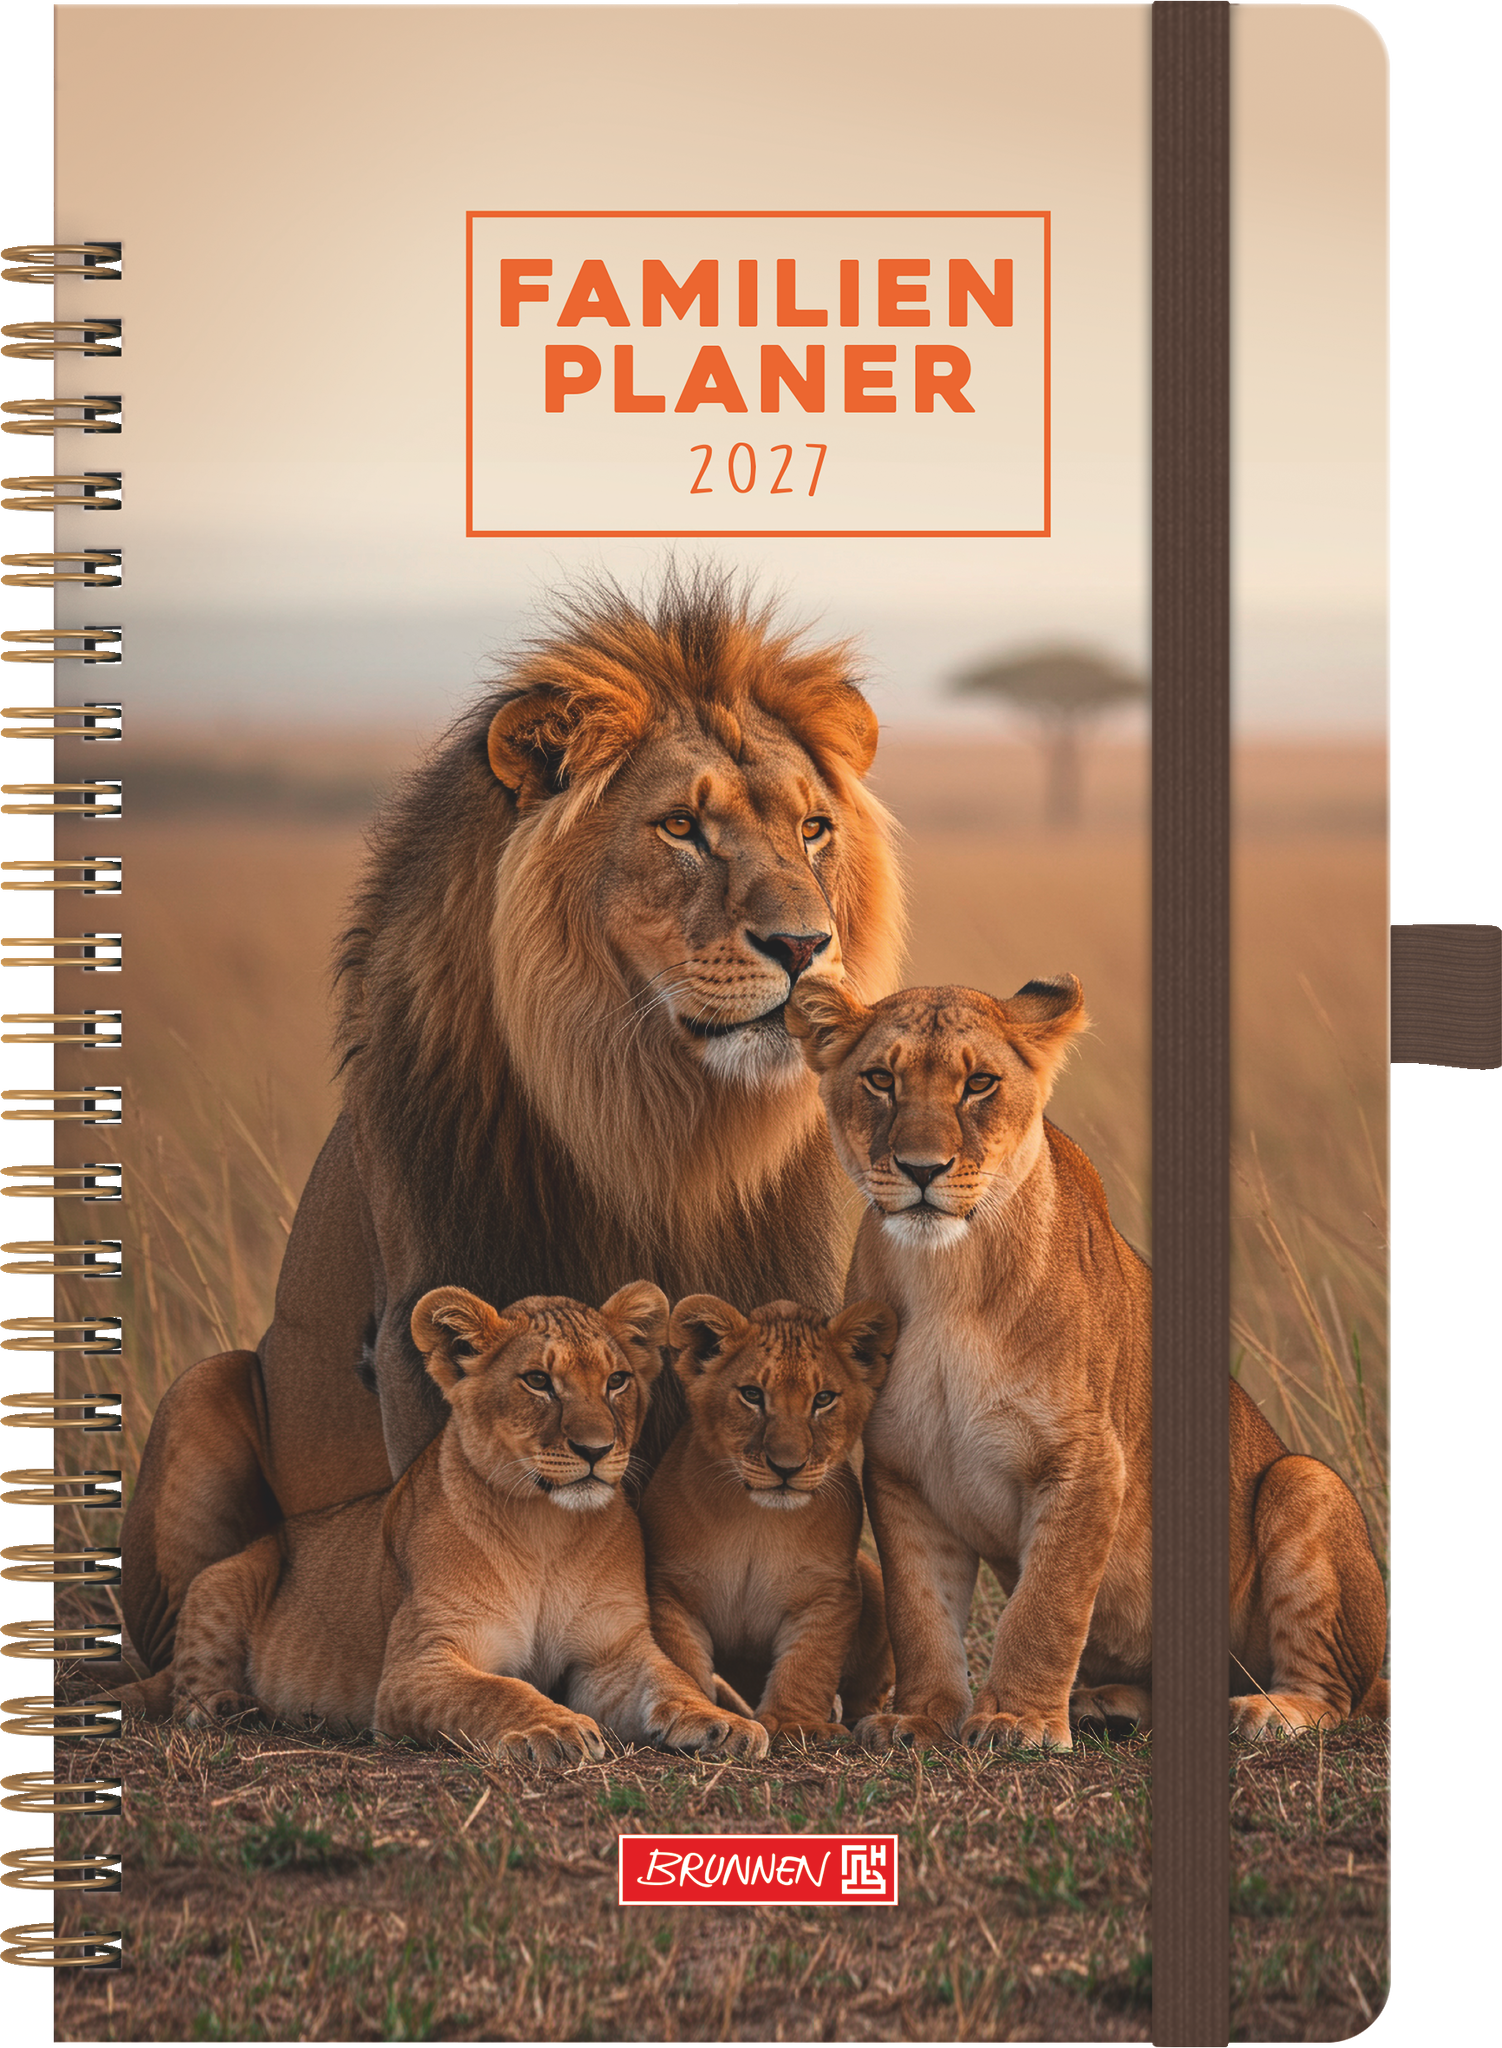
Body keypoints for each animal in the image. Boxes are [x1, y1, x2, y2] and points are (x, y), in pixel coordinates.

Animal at [122, 570, 905, 1674]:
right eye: (682, 827)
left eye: (812, 830)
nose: (804, 944)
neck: (655, 1124)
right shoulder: (432, 1321)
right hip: (202, 1385)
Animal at [127, 1284, 770, 1764]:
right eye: (538, 1380)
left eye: (617, 1380)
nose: (596, 1449)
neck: (547, 1530)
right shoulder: (419, 1664)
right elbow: (498, 1690)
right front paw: (555, 1728)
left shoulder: (611, 1653)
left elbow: (671, 1681)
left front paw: (721, 1723)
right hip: (227, 1576)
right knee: (186, 1692)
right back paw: (234, 1707)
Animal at [640, 1295, 898, 1739]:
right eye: (751, 1394)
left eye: (823, 1399)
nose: (786, 1467)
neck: (757, 1522)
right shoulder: (672, 1590)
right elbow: (682, 1662)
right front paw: (703, 1715)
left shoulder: (826, 1592)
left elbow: (809, 1664)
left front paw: (795, 1722)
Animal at [788, 976, 1389, 1748]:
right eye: (880, 1080)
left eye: (979, 1083)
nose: (922, 1170)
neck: (947, 1275)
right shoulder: (902, 1473)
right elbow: (920, 1613)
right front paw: (919, 1718)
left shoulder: (1087, 1461)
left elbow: (1046, 1605)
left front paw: (1016, 1720)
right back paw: (1106, 1703)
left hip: (1304, 1482)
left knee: (1335, 1693)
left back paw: (1267, 1710)